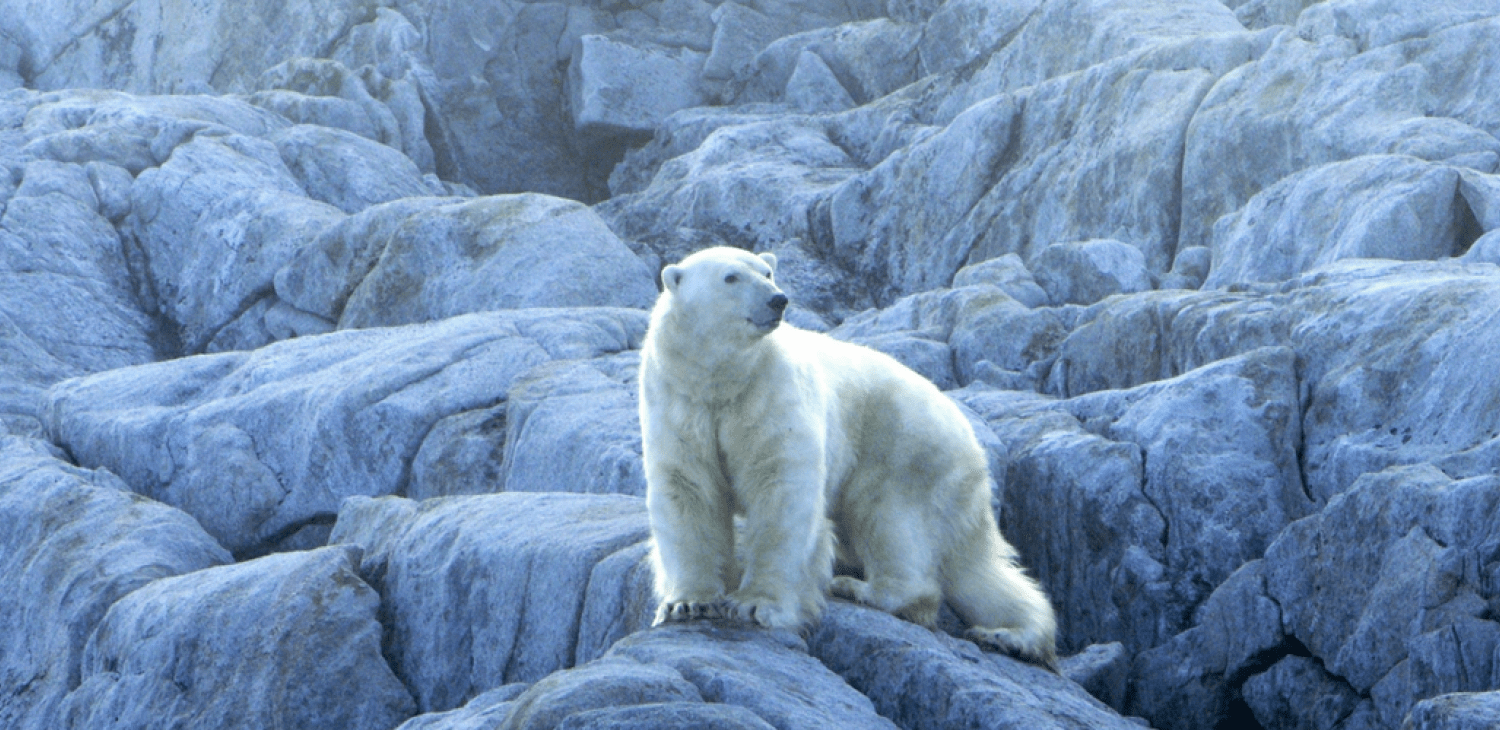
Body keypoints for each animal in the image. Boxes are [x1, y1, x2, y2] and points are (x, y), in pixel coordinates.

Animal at [639, 247, 1062, 668]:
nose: (778, 299)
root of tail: (976, 451)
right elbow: (688, 490)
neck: (723, 381)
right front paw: (687, 603)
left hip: (903, 448)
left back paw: (862, 588)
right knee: (975, 570)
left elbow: (780, 490)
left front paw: (756, 605)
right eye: (731, 277)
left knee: (890, 519)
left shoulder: (771, 394)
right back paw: (1011, 635)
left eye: (767, 271)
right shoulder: (679, 399)